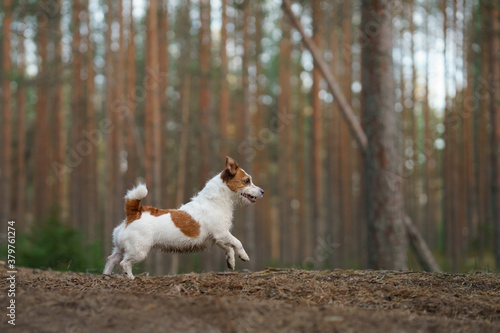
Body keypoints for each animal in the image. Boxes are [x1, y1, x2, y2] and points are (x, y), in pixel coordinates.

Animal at [103, 156, 264, 278]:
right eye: (247, 181)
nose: (262, 191)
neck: (215, 200)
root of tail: (134, 213)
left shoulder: (217, 238)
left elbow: (228, 248)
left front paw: (231, 261)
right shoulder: (222, 233)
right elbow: (237, 243)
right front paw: (243, 255)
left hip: (120, 248)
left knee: (111, 259)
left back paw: (106, 275)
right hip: (138, 251)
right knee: (124, 263)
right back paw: (130, 277)